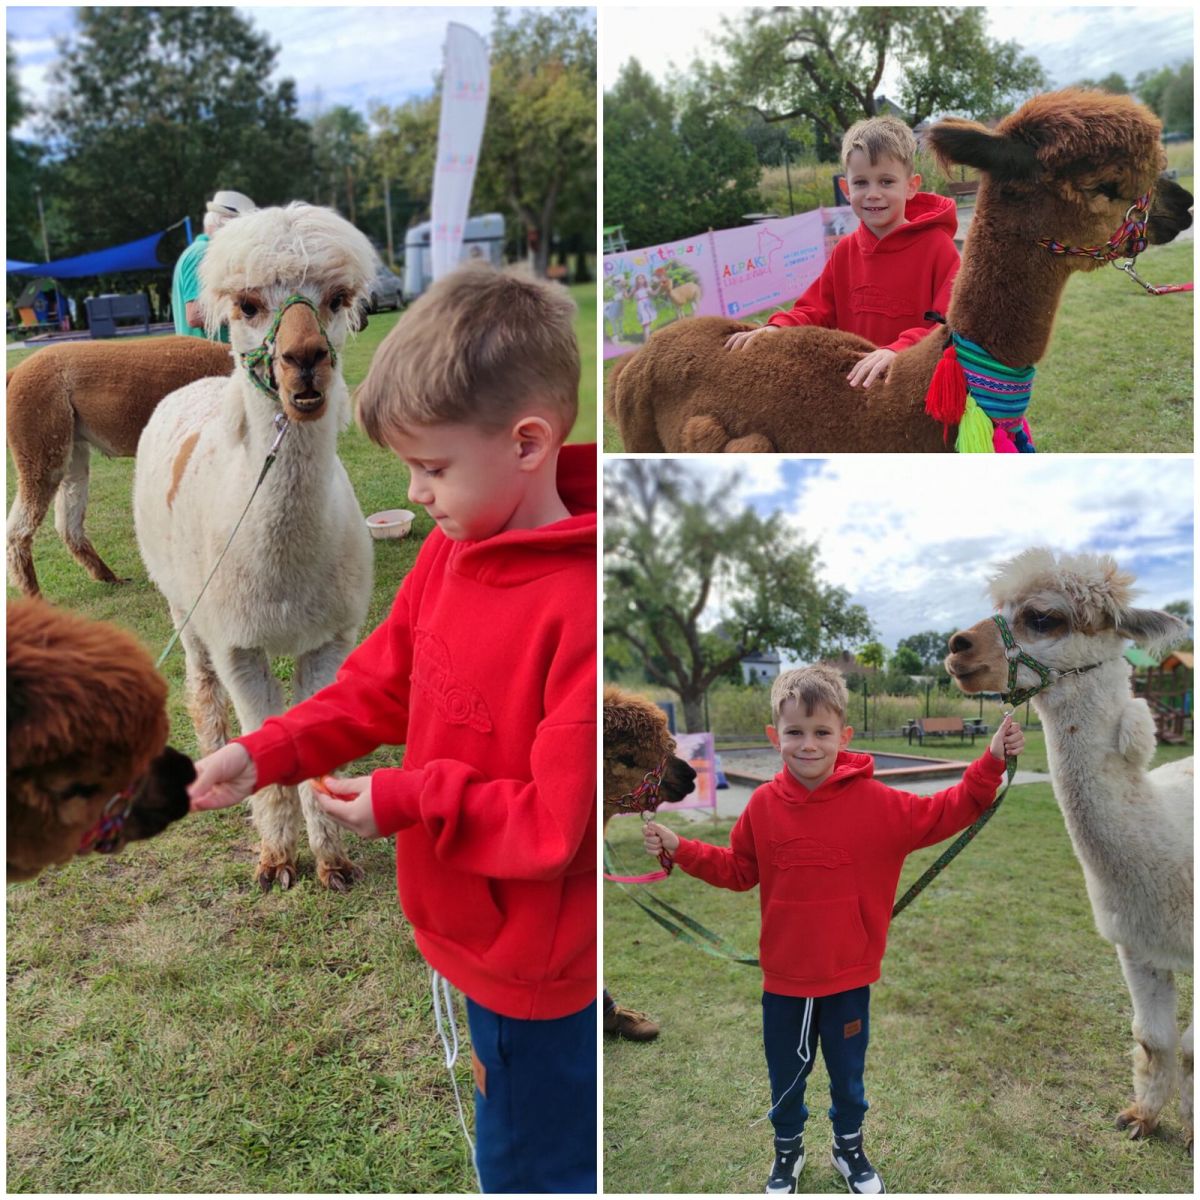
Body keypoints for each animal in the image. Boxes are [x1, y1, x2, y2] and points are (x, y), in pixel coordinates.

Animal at [6, 336, 233, 597]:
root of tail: (16, 372)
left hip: (70, 446)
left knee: (67, 524)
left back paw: (109, 577)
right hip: (40, 441)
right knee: (18, 529)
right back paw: (34, 594)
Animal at [133, 203, 376, 892]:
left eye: (337, 298)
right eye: (247, 304)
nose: (305, 359)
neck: (284, 579)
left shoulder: (330, 635)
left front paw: (332, 861)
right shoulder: (237, 639)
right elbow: (258, 734)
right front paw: (275, 859)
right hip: (183, 602)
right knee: (199, 678)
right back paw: (212, 754)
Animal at [946, 548, 1193, 1150]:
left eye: (1043, 617)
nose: (957, 646)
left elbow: (1191, 1048)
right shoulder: (1138, 945)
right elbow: (1152, 1037)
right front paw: (1141, 1118)